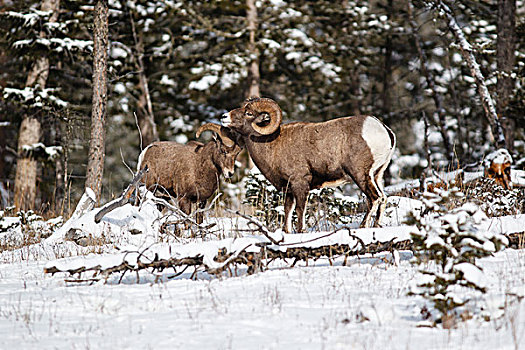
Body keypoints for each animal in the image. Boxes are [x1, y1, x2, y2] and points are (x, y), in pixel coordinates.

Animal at [219, 98, 396, 232]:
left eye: (248, 113)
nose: (223, 116)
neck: (271, 144)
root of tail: (384, 130)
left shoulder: (300, 184)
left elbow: (300, 210)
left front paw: (300, 231)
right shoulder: (288, 190)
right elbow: (288, 211)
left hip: (360, 174)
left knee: (375, 198)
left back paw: (363, 227)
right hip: (377, 175)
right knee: (383, 198)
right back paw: (376, 226)